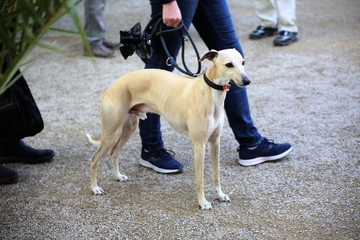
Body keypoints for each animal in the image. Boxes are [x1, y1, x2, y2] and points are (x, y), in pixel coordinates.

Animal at [87, 49, 250, 210]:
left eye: (243, 62)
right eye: (229, 64)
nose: (247, 81)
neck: (209, 93)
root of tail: (112, 85)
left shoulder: (215, 143)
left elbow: (216, 174)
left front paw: (220, 195)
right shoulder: (199, 145)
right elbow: (200, 179)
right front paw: (202, 202)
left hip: (128, 128)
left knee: (114, 153)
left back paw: (118, 176)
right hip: (112, 133)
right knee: (94, 160)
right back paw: (95, 188)